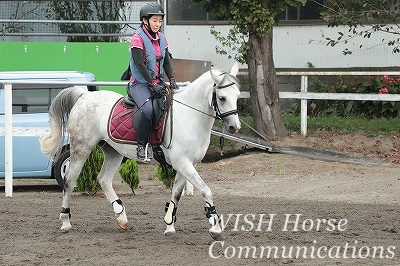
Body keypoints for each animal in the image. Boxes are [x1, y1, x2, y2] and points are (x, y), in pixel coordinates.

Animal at [39, 61, 241, 239]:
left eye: (238, 96)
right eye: (222, 98)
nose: (234, 127)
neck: (190, 116)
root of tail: (84, 96)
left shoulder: (188, 164)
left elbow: (176, 193)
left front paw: (169, 224)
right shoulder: (183, 163)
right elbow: (206, 190)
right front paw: (215, 227)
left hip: (113, 152)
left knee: (103, 179)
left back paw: (121, 217)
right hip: (81, 148)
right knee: (69, 180)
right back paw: (66, 221)